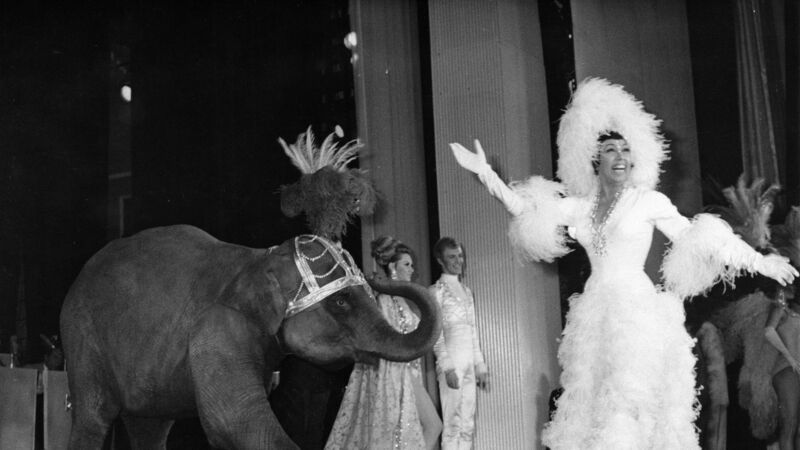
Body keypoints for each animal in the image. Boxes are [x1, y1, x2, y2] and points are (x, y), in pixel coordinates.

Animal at [60, 225, 441, 449]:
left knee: (149, 429)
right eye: (342, 301)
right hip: (82, 339)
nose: (380, 266)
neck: (257, 259)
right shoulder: (216, 330)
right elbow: (236, 421)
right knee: (93, 418)